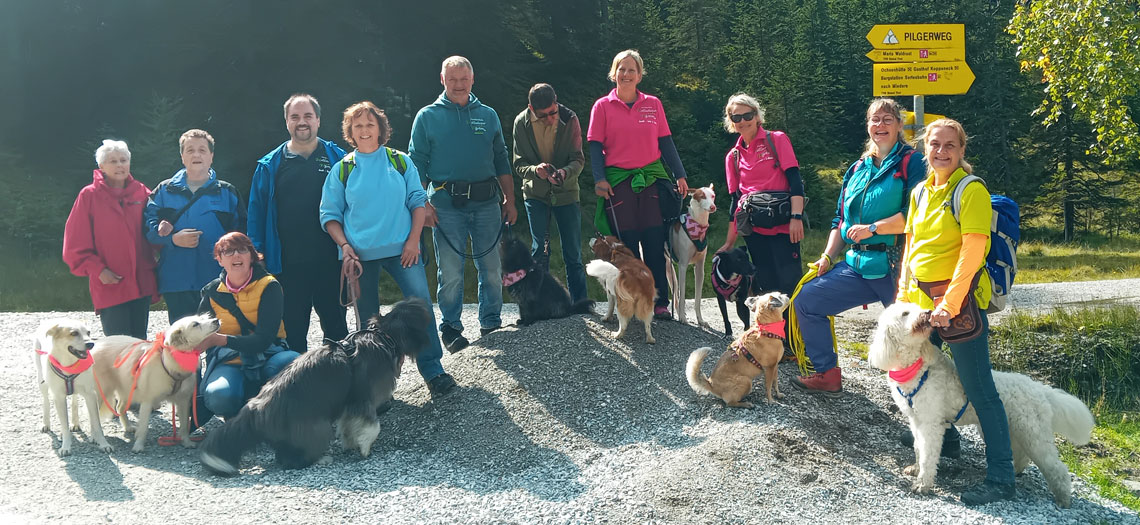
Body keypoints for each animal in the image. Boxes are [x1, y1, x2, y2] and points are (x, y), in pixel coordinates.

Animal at [32, 319, 112, 455]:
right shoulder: (59, 397)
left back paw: (75, 422)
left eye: (88, 332)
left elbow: (96, 423)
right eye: (74, 333)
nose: (91, 344)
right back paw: (46, 423)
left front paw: (103, 443)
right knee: (46, 400)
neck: (69, 364)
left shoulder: (90, 394)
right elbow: (64, 425)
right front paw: (66, 447)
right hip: (41, 381)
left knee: (74, 400)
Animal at [90, 314, 220, 452]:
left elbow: (185, 425)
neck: (170, 363)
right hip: (101, 393)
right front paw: (138, 446)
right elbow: (144, 427)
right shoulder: (147, 401)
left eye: (204, 318)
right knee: (93, 416)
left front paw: (187, 442)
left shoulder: (183, 400)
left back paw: (128, 427)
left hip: (127, 389)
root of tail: (97, 343)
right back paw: (96, 438)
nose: (216, 320)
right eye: (195, 324)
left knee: (120, 407)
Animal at [199, 298, 431, 475]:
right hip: (314, 426)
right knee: (291, 460)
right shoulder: (363, 396)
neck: (384, 336)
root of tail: (255, 409)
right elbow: (372, 426)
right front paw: (365, 447)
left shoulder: (348, 403)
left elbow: (347, 425)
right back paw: (321, 459)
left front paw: (349, 443)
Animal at [665, 184, 716, 326]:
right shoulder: (683, 266)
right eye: (702, 196)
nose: (713, 207)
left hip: (670, 270)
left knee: (675, 293)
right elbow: (682, 295)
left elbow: (697, 299)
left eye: (713, 196)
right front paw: (682, 318)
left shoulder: (699, 268)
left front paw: (700, 320)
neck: (697, 226)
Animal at [869, 302, 1096, 507]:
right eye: (905, 313)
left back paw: (1063, 499)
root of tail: (1040, 388)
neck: (918, 366)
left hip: (1034, 434)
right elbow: (918, 448)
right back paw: (1015, 472)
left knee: (1057, 468)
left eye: (916, 308)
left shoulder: (931, 423)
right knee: (1020, 454)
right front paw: (915, 469)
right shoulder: (916, 420)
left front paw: (922, 484)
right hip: (1015, 429)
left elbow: (928, 454)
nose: (928, 312)